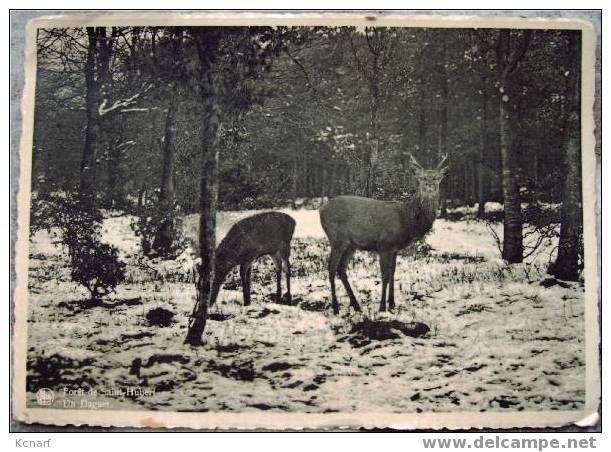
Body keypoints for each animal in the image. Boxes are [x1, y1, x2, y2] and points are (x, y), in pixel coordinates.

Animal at [320, 154, 450, 312]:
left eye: (437, 178)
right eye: (422, 178)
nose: (430, 187)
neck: (406, 219)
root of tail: (321, 209)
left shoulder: (395, 249)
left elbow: (393, 273)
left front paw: (392, 304)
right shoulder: (384, 245)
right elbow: (385, 276)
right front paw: (382, 307)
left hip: (351, 245)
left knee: (341, 270)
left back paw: (356, 305)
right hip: (336, 238)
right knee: (331, 269)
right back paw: (336, 307)